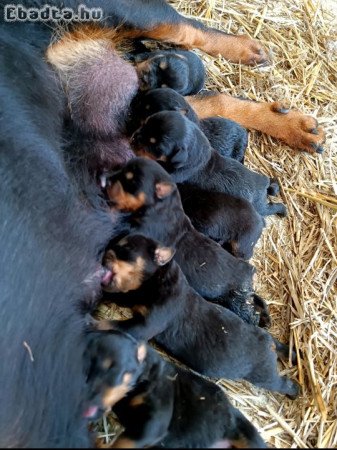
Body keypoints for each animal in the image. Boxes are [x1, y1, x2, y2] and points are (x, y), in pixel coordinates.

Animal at [98, 234, 298, 400]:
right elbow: (117, 296)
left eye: (126, 249)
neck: (154, 281)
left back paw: (295, 392)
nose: (104, 253)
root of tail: (270, 343)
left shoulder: (146, 325)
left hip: (265, 376)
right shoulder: (132, 299)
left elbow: (112, 325)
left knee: (283, 384)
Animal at [131, 110, 286, 217]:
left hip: (259, 207)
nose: (133, 138)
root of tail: (264, 186)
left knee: (271, 207)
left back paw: (283, 210)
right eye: (146, 122)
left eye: (156, 148)